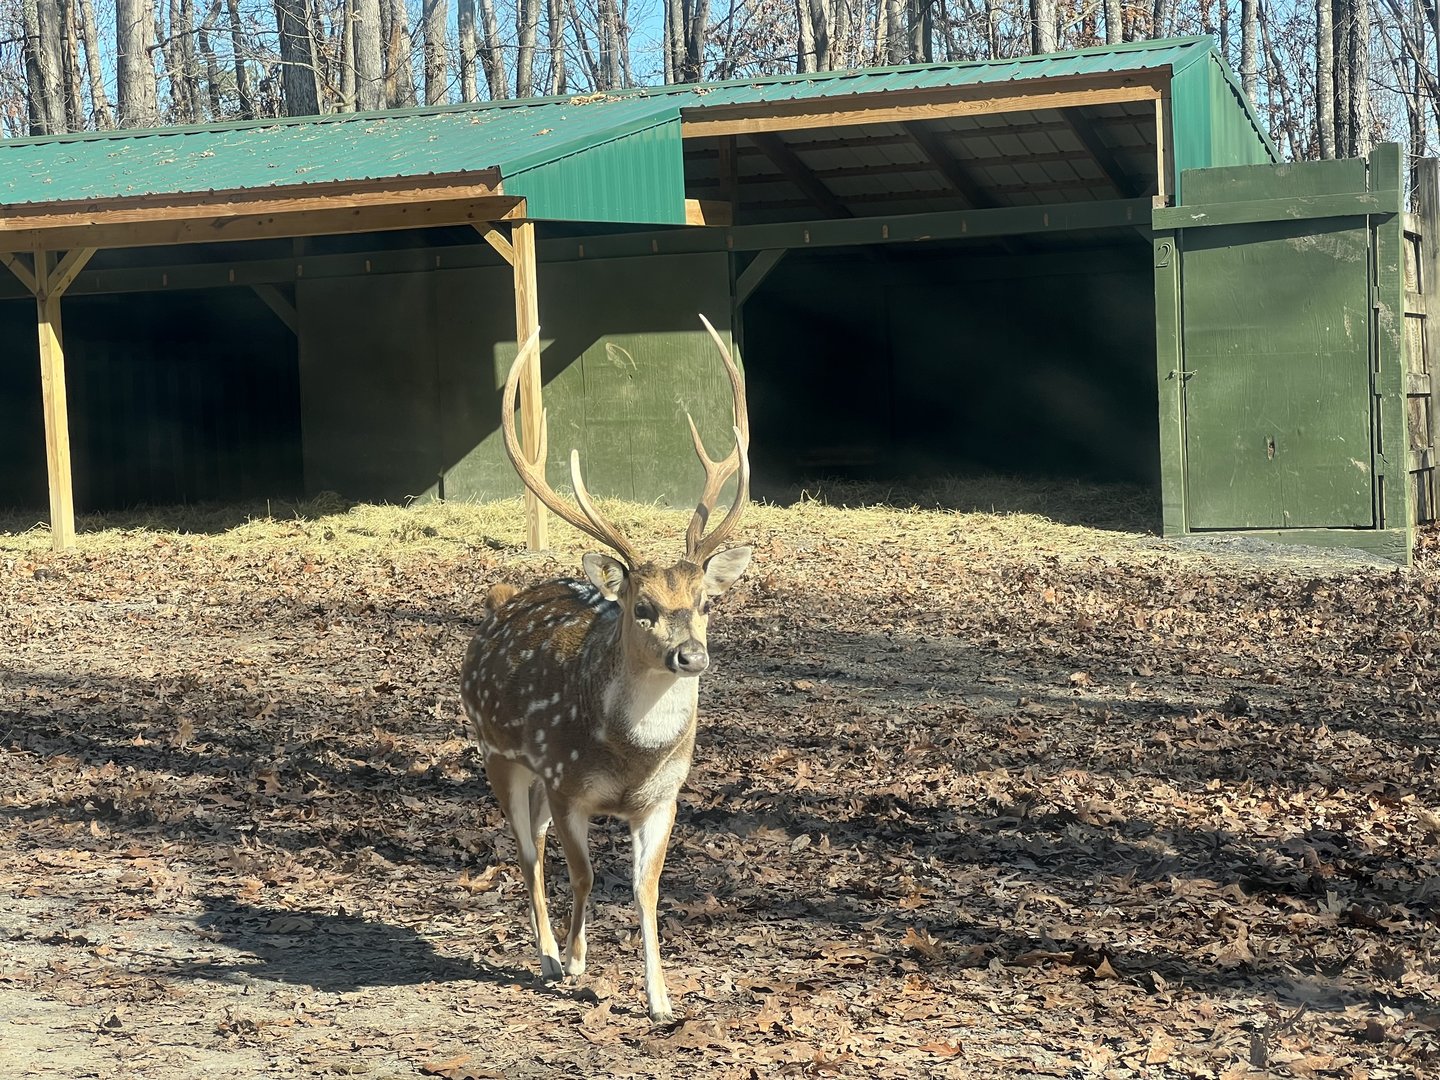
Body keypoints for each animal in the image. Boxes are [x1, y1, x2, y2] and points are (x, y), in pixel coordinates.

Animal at [459, 316, 752, 1022]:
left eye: (705, 602)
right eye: (641, 608)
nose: (691, 655)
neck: (631, 756)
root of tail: (501, 600)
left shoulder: (664, 796)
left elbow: (647, 890)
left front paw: (660, 999)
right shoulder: (569, 784)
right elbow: (584, 872)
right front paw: (574, 963)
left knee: (535, 845)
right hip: (500, 754)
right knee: (528, 854)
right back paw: (544, 957)